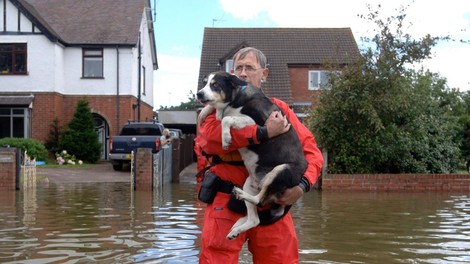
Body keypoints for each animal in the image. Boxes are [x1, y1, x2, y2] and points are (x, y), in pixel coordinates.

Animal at [196, 70, 306, 239]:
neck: (235, 99)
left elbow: (227, 119)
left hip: (281, 170)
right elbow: (219, 113)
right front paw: (204, 112)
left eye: (215, 85)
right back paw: (237, 228)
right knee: (255, 219)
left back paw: (240, 195)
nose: (199, 94)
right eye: (205, 83)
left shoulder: (255, 122)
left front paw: (226, 138)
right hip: (250, 183)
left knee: (259, 200)